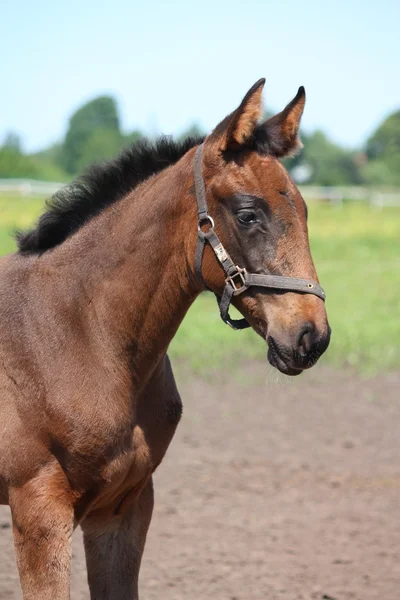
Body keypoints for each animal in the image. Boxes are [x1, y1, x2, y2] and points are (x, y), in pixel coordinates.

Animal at [0, 79, 330, 600]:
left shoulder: (123, 506)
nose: (310, 336)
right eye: (248, 214)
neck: (81, 333)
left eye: (303, 208)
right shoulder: (37, 507)